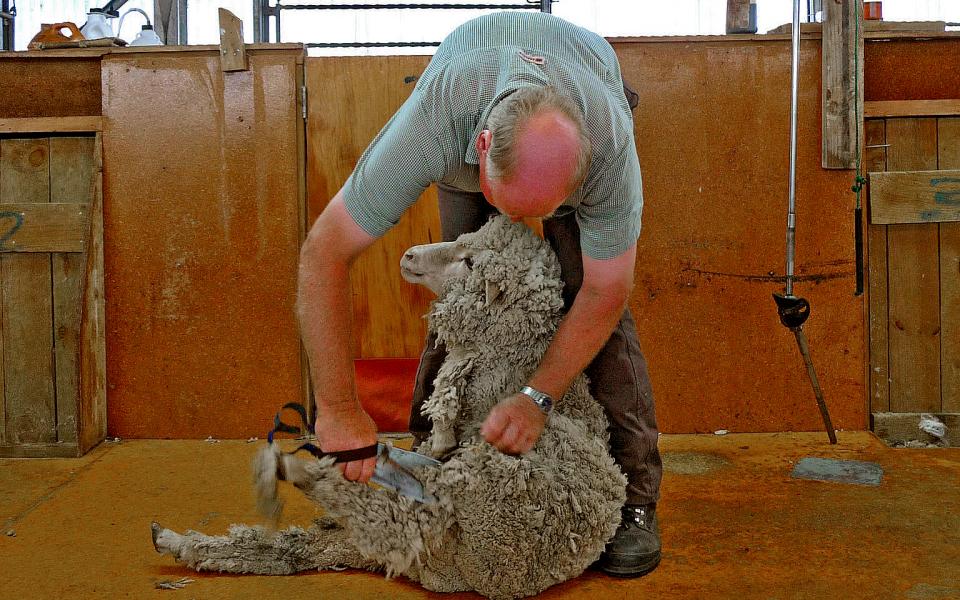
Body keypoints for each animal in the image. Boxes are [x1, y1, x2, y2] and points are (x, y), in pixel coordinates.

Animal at [150, 216, 628, 600]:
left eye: (470, 263)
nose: (409, 254)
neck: (505, 378)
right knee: (297, 549)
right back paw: (180, 540)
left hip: (462, 510)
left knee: (379, 522)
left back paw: (294, 472)